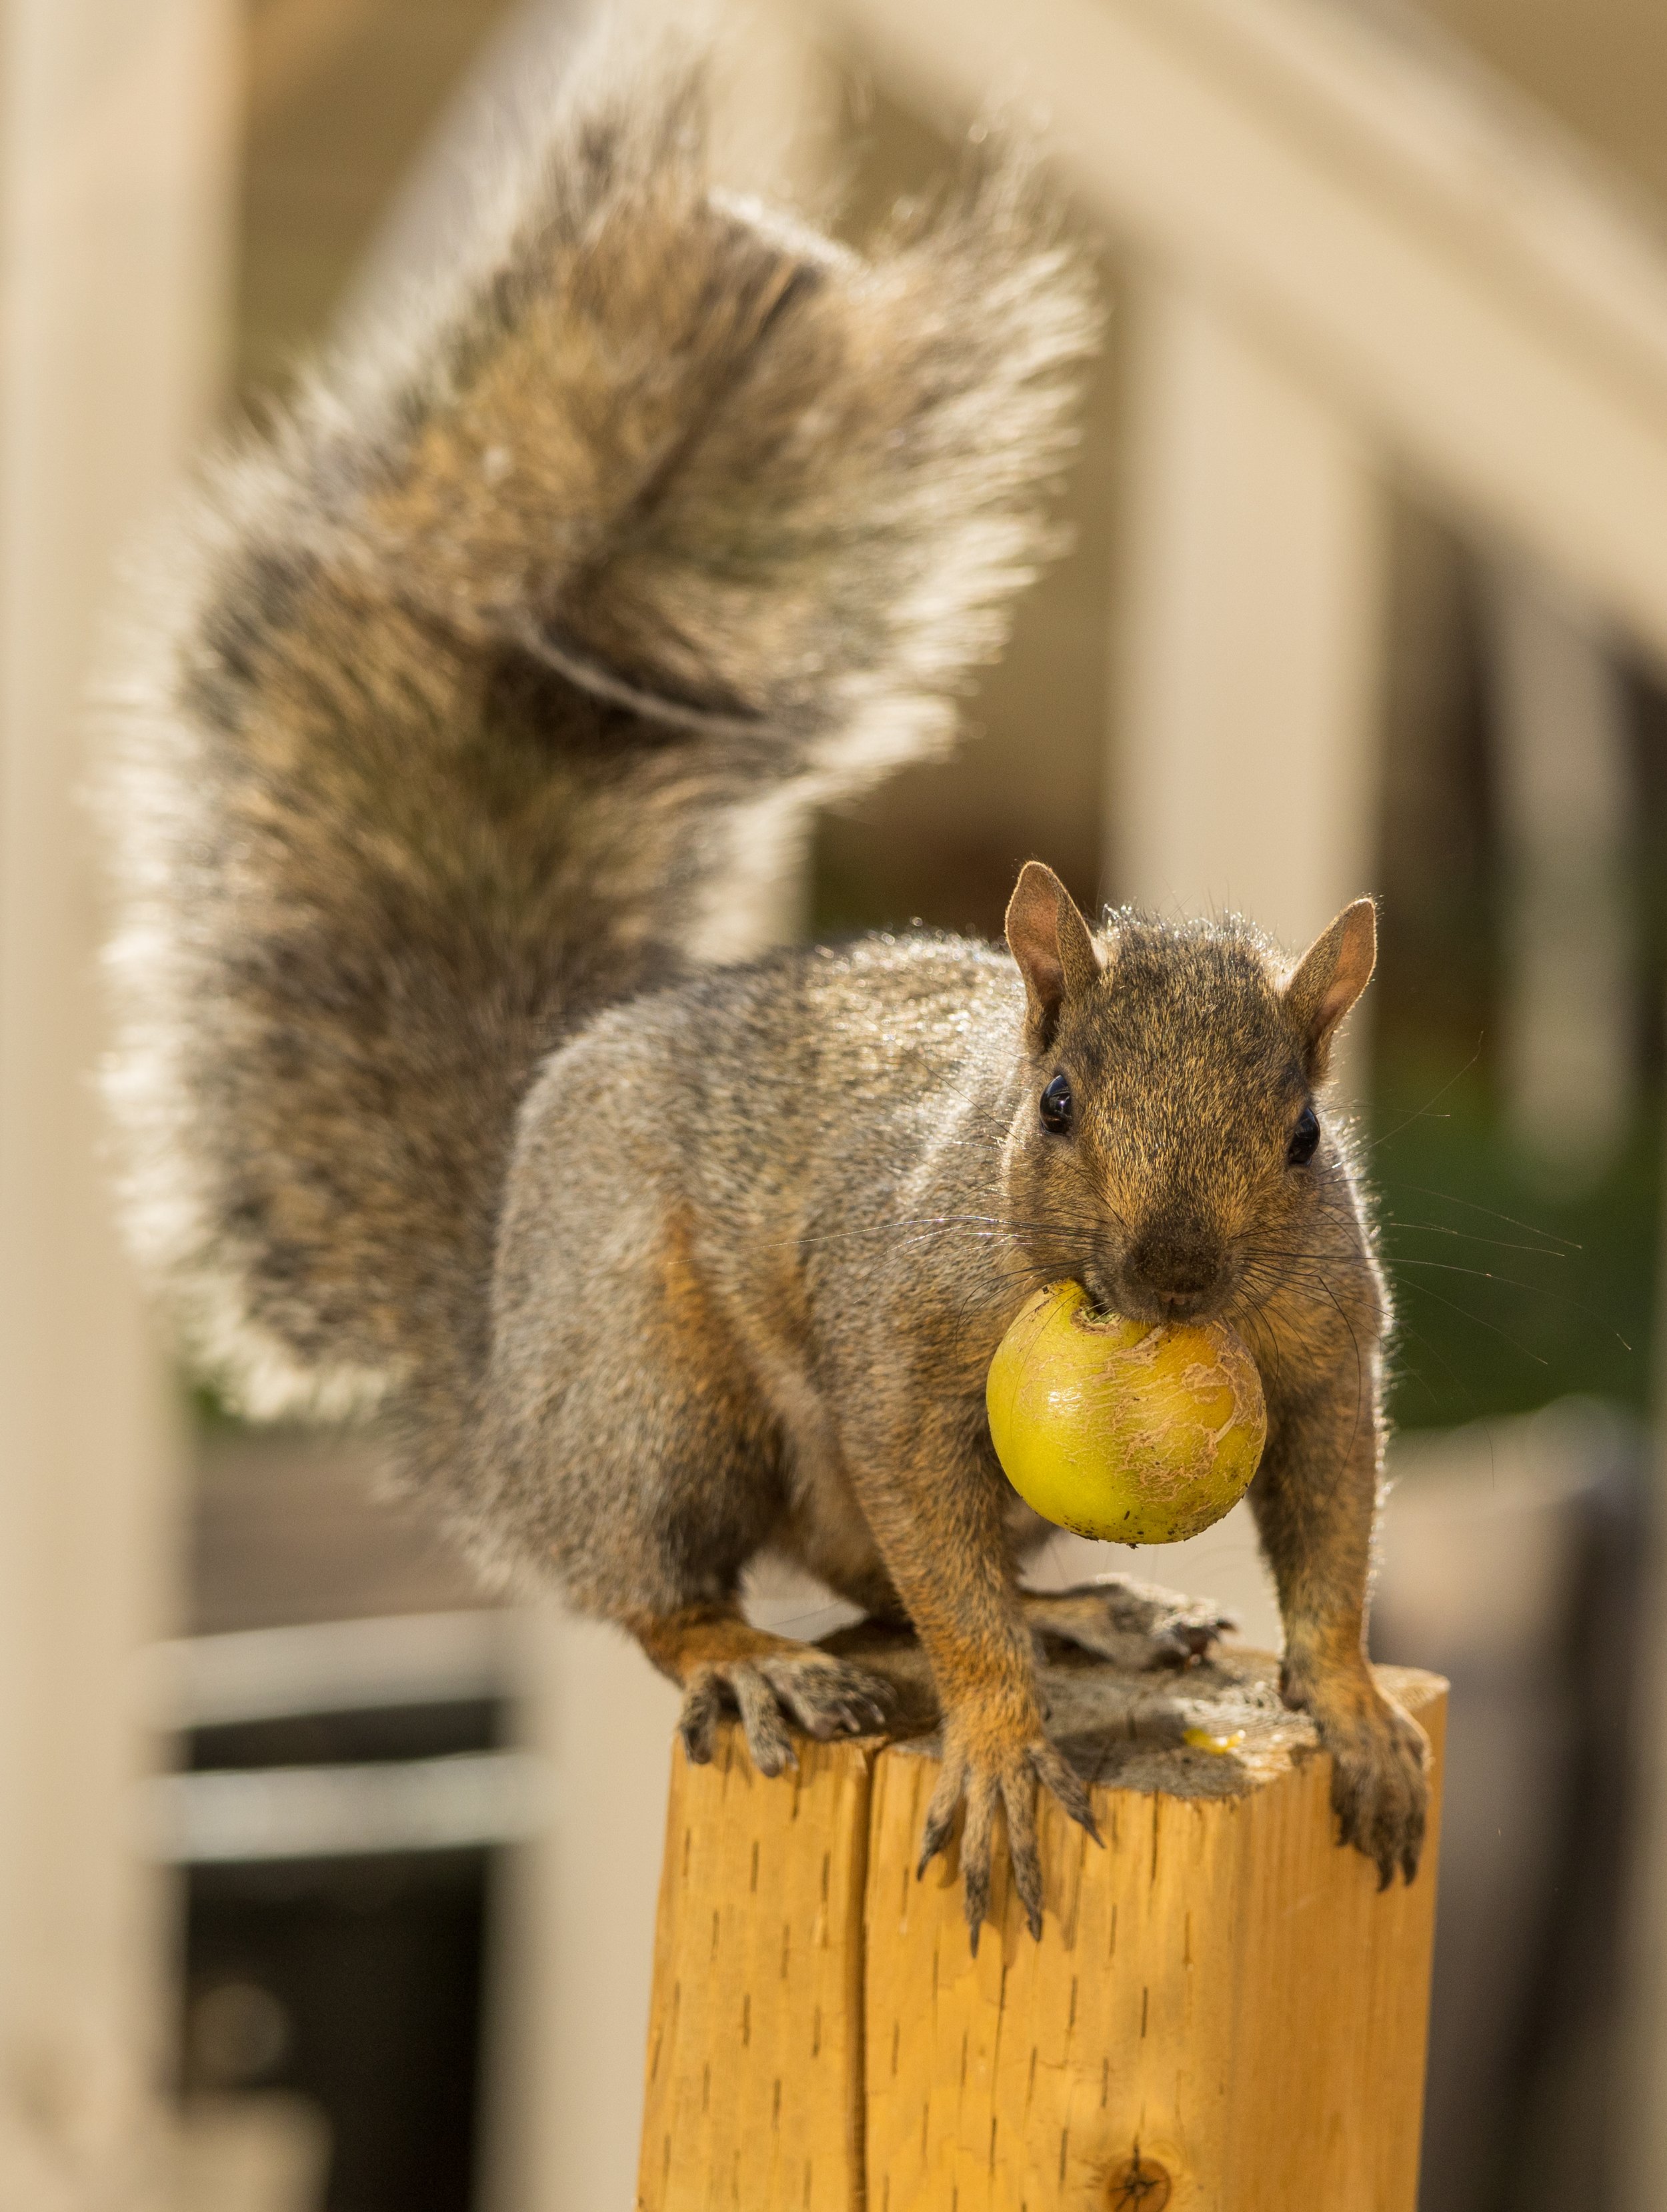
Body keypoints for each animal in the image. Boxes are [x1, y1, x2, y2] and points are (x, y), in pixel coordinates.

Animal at [103, 44, 1427, 1946]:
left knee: (866, 1578)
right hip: (651, 1389)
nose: (1172, 1281)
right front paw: (1003, 1747)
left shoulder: (1326, 1348)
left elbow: (1328, 1531)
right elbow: (937, 1545)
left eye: (1307, 1135)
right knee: (691, 1583)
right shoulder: (896, 1350)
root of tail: (501, 1388)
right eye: (1057, 1107)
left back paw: (1078, 1611)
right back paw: (753, 1656)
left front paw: (1350, 1704)